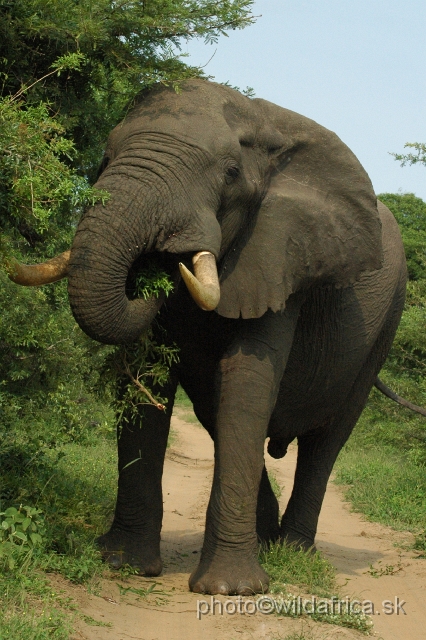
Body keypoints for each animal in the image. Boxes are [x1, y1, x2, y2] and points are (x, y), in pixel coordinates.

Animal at [11, 79, 408, 596]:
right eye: (106, 157)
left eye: (231, 173)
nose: (157, 262)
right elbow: (148, 382)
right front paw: (124, 564)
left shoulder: (280, 253)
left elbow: (247, 382)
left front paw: (231, 590)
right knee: (217, 413)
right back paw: (265, 539)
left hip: (386, 324)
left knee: (327, 440)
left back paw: (291, 552)